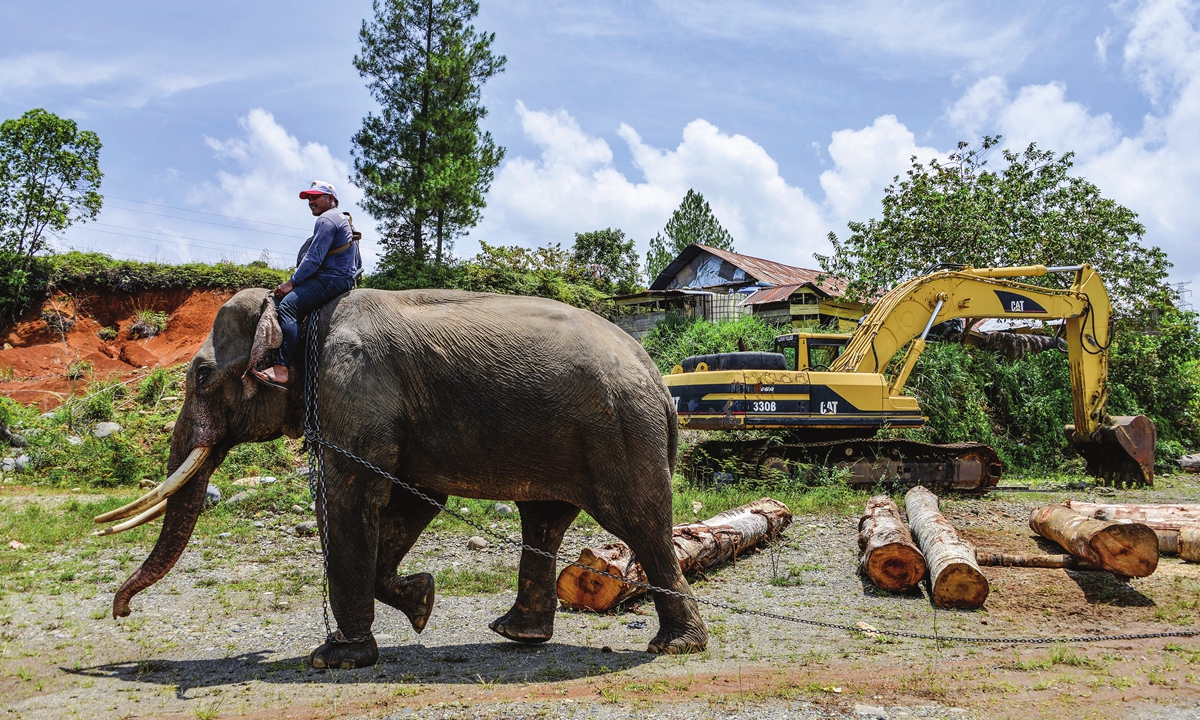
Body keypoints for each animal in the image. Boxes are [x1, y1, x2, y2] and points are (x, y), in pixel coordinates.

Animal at [95, 288, 708, 669]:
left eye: (201, 375)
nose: (120, 612)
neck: (303, 311)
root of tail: (658, 379)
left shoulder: (353, 392)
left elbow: (351, 497)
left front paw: (335, 659)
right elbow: (417, 499)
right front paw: (422, 601)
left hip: (620, 435)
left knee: (642, 525)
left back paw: (674, 648)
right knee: (545, 521)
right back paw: (514, 633)